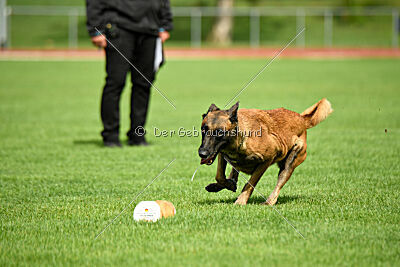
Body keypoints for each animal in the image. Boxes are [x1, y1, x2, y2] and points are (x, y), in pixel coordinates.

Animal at [198, 99, 332, 206]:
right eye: (203, 129)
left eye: (220, 132)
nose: (202, 153)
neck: (242, 138)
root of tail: (302, 119)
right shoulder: (221, 154)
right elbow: (220, 176)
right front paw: (228, 185)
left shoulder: (266, 160)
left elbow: (250, 183)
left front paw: (241, 201)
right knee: (233, 173)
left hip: (289, 164)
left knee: (279, 183)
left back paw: (269, 202)